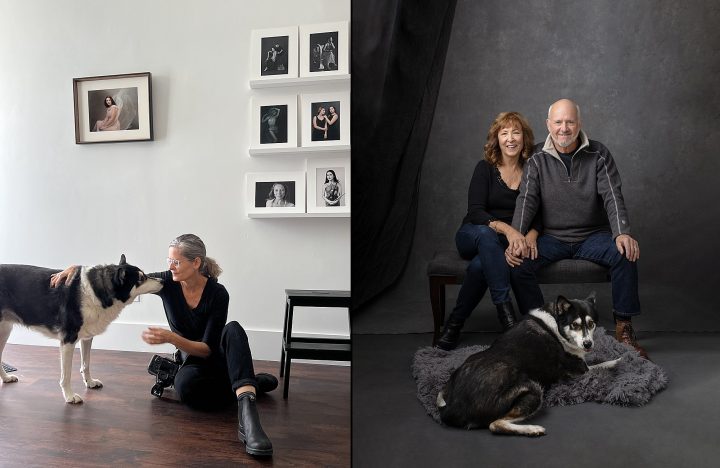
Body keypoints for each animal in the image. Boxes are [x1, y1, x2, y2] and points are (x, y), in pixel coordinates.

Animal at [0, 254, 163, 404]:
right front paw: (69, 396)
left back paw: (6, 378)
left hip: (5, 330)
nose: (163, 281)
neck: (98, 291)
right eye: (141, 279)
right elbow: (66, 375)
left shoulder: (86, 338)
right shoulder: (68, 340)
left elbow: (86, 364)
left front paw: (89, 383)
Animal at [436, 294, 620, 436]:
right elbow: (603, 364)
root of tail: (452, 408)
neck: (556, 321)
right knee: (495, 424)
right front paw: (618, 360)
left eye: (591, 324)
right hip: (533, 389)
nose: (588, 344)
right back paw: (532, 429)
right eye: (574, 325)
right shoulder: (580, 371)